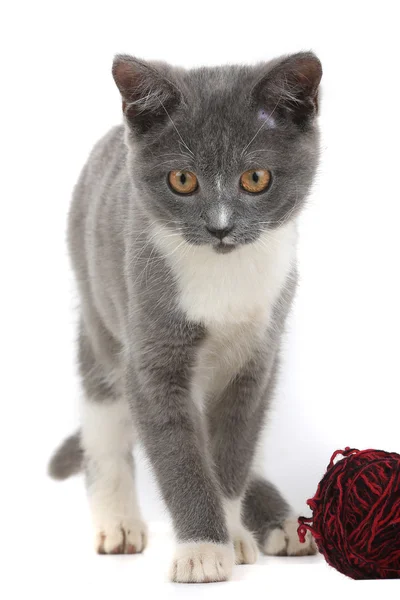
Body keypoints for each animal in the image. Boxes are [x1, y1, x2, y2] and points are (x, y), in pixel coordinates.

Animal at [49, 51, 322, 580]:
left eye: (255, 178)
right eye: (182, 180)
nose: (220, 227)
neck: (224, 277)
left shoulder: (258, 356)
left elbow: (233, 449)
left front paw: (233, 535)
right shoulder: (151, 352)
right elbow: (181, 456)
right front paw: (203, 550)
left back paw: (282, 523)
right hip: (98, 310)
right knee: (102, 420)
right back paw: (117, 523)